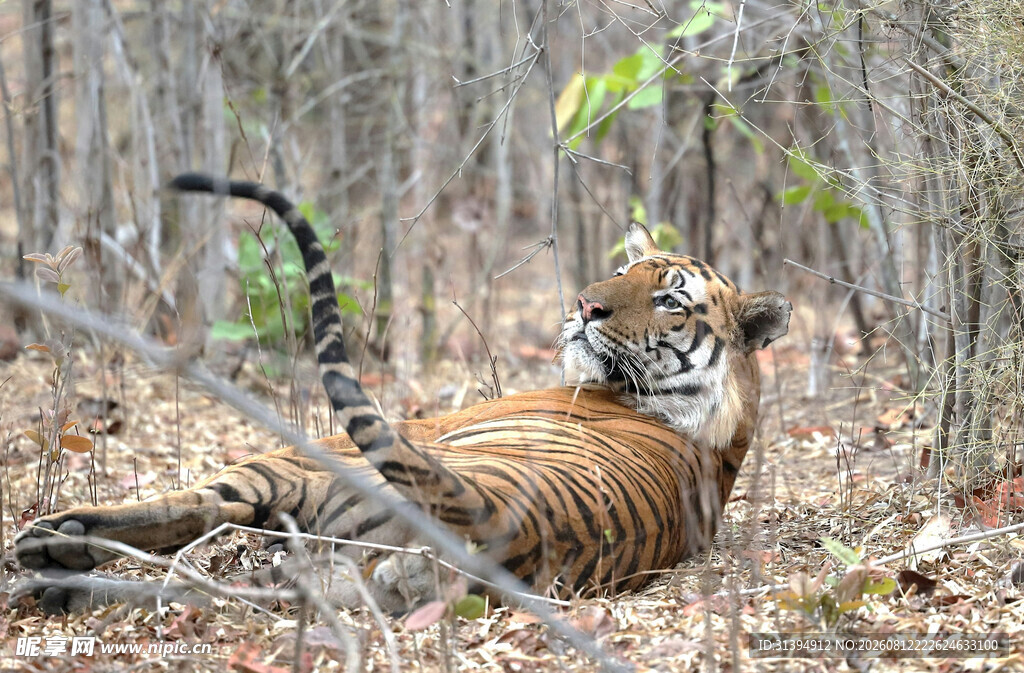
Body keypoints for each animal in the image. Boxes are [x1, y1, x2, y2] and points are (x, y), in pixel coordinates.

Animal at [13, 173, 791, 614]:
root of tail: (500, 517)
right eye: (625, 271)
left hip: (304, 470)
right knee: (208, 587)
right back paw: (57, 584)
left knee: (201, 505)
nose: (584, 305)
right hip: (326, 567)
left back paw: (53, 545)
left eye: (669, 299)